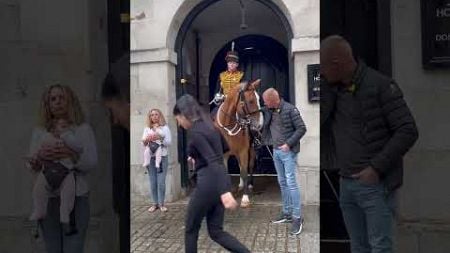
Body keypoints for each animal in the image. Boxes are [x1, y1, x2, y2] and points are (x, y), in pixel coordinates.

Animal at [214, 79, 264, 208]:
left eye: (259, 99)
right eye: (251, 101)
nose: (260, 125)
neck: (228, 125)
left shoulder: (243, 151)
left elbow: (245, 171)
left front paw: (245, 199)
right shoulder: (224, 154)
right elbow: (227, 173)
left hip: (251, 150)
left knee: (249, 166)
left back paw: (249, 185)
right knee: (240, 165)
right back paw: (241, 185)